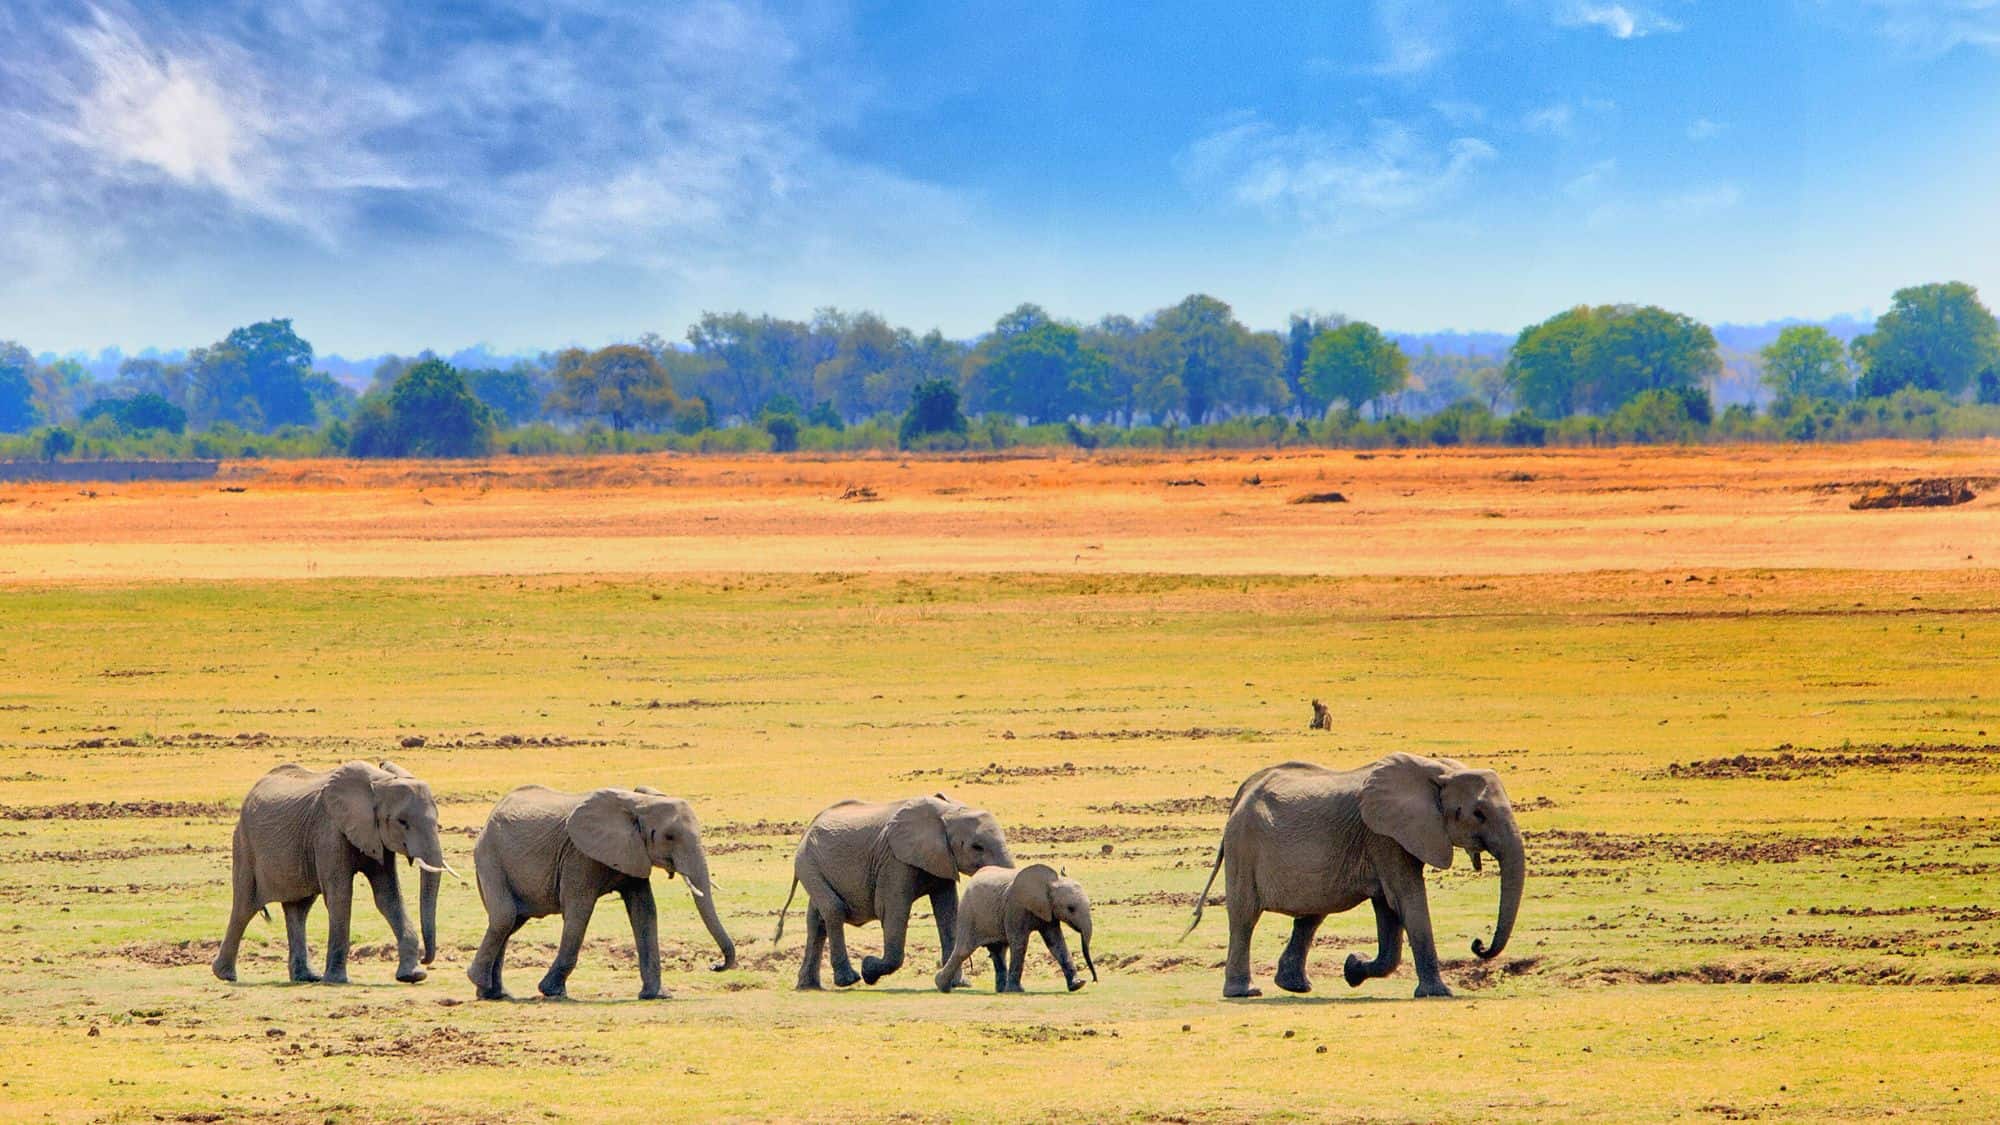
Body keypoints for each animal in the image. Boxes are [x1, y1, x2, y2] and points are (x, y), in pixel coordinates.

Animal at [212, 760, 453, 985]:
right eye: (402, 822)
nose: (425, 959)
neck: (379, 782)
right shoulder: (329, 831)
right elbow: (340, 895)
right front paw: (337, 980)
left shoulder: (375, 837)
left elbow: (388, 897)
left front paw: (413, 976)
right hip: (244, 843)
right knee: (245, 906)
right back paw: (225, 975)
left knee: (298, 909)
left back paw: (306, 977)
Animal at [465, 785, 735, 1000]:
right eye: (669, 837)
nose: (715, 965)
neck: (639, 802)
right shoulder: (579, 855)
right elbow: (579, 911)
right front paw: (552, 992)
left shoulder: (633, 852)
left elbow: (645, 911)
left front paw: (657, 995)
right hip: (490, 857)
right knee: (505, 917)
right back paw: (482, 984)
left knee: (510, 922)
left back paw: (494, 993)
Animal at [775, 794, 1013, 990]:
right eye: (977, 847)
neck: (948, 813)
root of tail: (808, 828)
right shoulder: (894, 861)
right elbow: (892, 909)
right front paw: (868, 969)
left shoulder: (942, 859)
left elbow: (948, 912)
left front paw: (959, 984)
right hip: (808, 862)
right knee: (833, 909)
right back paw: (848, 980)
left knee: (817, 920)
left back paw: (809, 986)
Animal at [934, 863, 1096, 993]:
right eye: (1071, 909)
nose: (1094, 980)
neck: (1049, 883)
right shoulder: (1016, 908)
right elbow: (1019, 944)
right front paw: (1016, 991)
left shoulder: (1048, 912)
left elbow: (1057, 943)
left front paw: (1078, 985)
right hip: (968, 913)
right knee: (964, 950)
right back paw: (942, 986)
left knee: (998, 951)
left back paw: (1000, 990)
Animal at [1186, 753, 1524, 999]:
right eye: (1478, 814)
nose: (1478, 945)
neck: (1436, 771)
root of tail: (1242, 793)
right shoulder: (1384, 836)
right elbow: (1407, 898)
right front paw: (1439, 993)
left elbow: (1389, 909)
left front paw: (1352, 969)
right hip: (1243, 846)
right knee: (1245, 916)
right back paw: (1244, 992)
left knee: (1312, 914)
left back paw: (1295, 986)